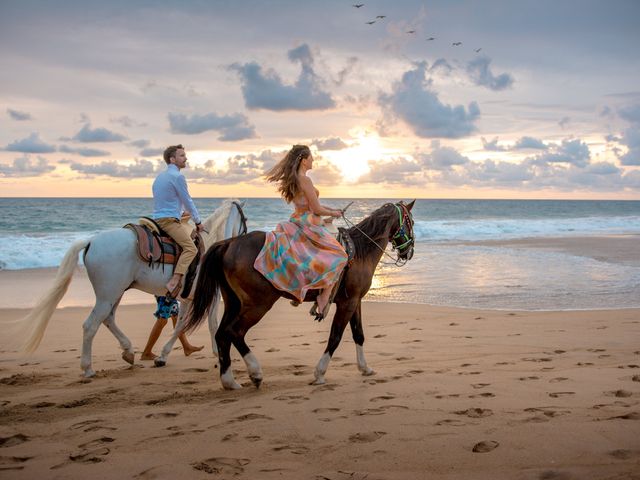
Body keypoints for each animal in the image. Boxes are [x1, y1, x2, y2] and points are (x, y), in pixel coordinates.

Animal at [17, 197, 248, 376]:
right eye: (245, 220)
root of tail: (91, 241)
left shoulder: (187, 298)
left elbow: (185, 323)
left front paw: (167, 356)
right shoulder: (207, 295)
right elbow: (206, 323)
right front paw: (215, 355)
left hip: (115, 293)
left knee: (108, 319)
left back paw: (128, 351)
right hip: (108, 295)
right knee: (91, 325)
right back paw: (88, 368)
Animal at [184, 201, 416, 388]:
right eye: (411, 221)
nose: (409, 252)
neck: (359, 252)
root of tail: (229, 242)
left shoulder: (354, 301)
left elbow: (358, 334)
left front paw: (365, 368)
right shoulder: (347, 303)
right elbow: (335, 337)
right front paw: (320, 373)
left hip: (234, 303)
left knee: (222, 334)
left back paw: (229, 381)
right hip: (257, 304)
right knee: (234, 332)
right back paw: (255, 372)